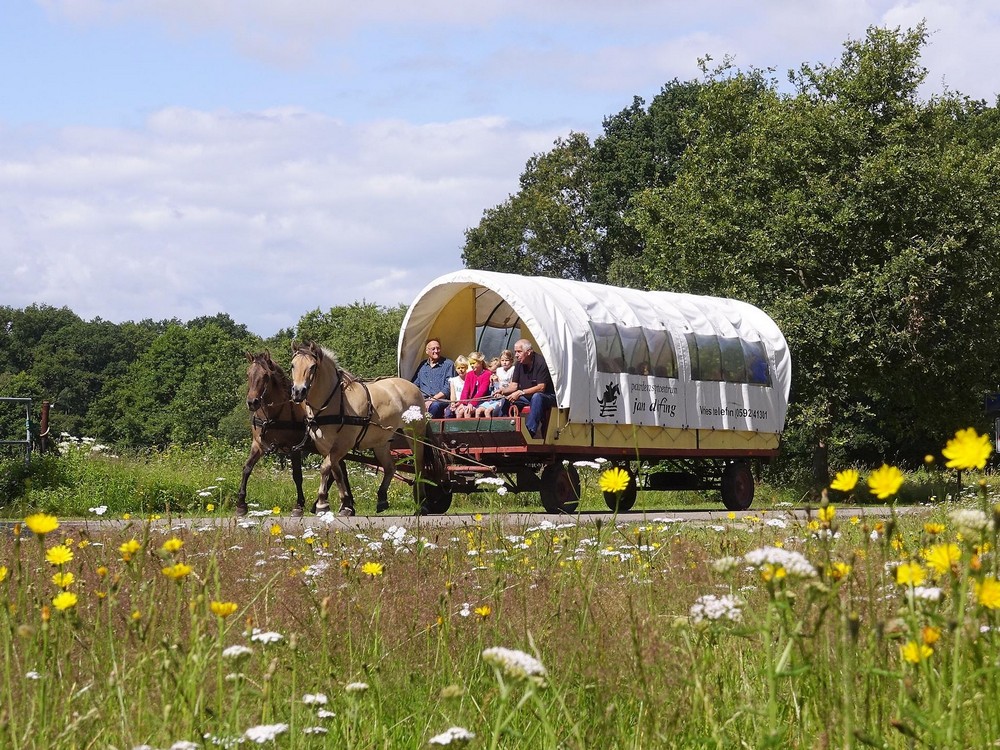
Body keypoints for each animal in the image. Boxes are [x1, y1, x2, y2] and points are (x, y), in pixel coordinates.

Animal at [236, 356, 346, 520]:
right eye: (248, 374)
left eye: (266, 376)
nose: (252, 402)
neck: (274, 415)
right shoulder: (257, 445)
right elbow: (247, 468)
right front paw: (241, 504)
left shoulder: (294, 448)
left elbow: (297, 475)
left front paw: (299, 506)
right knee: (339, 468)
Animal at [292, 342, 428, 516]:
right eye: (293, 365)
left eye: (312, 366)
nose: (298, 392)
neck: (332, 402)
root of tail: (412, 386)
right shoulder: (324, 446)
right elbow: (336, 472)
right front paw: (345, 504)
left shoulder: (343, 444)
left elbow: (325, 468)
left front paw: (322, 503)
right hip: (381, 441)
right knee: (390, 467)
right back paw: (382, 499)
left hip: (415, 434)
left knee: (419, 465)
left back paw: (422, 503)